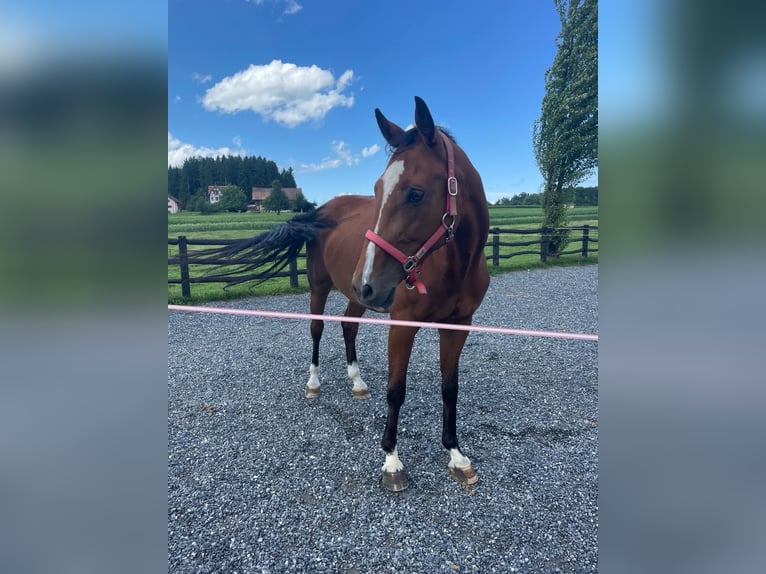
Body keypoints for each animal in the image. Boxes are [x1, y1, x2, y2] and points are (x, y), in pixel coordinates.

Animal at [204, 97, 492, 492]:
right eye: (377, 189)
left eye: (415, 193)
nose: (367, 281)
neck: (455, 264)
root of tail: (320, 210)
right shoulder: (402, 325)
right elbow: (396, 390)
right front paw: (392, 461)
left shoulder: (459, 325)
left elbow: (450, 388)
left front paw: (456, 455)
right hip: (322, 287)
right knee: (317, 330)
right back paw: (313, 383)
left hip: (358, 296)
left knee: (348, 326)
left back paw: (357, 382)